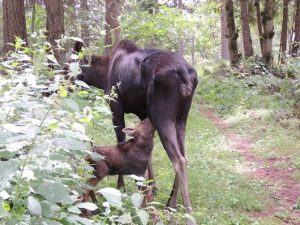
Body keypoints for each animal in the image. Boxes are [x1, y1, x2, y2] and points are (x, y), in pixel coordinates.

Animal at [70, 39, 198, 224]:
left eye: (70, 63)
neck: (102, 76)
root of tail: (185, 74)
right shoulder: (144, 115)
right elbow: (147, 151)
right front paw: (152, 184)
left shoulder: (116, 109)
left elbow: (121, 142)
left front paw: (121, 186)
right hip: (181, 118)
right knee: (185, 156)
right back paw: (170, 202)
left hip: (162, 116)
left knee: (179, 160)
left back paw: (185, 213)